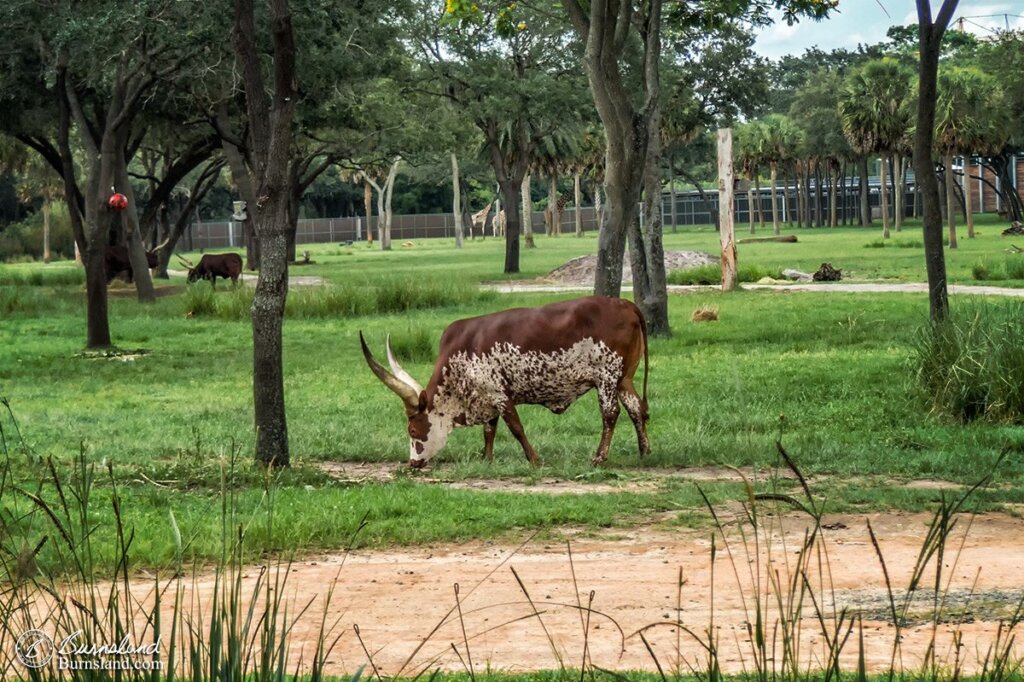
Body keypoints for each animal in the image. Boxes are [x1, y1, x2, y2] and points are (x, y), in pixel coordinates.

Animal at [360, 294, 647, 464]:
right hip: (623, 379)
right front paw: (486, 459)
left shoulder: (499, 395)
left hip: (606, 377)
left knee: (610, 414)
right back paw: (644, 451)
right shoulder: (486, 397)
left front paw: (534, 460)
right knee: (636, 409)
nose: (413, 463)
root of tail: (626, 304)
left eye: (412, 430)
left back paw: (600, 457)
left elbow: (516, 428)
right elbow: (490, 430)